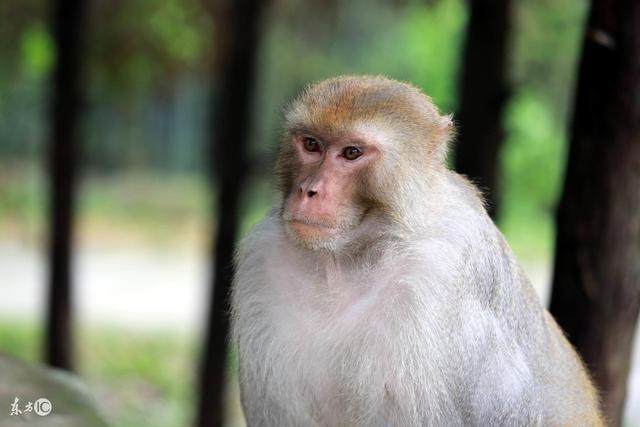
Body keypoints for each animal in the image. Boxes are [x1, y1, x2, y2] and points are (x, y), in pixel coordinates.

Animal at [231, 75, 604, 426]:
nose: (308, 190)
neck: (347, 258)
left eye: (352, 153)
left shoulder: (439, 270)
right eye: (311, 144)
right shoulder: (263, 258)